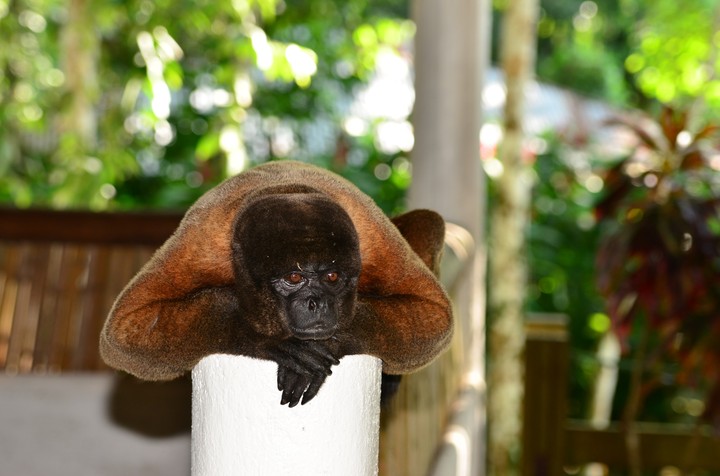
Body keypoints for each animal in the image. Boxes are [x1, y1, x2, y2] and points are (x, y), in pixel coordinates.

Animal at [100, 160, 452, 407]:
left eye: (332, 277)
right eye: (294, 278)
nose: (316, 303)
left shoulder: (373, 242)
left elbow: (436, 317)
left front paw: (334, 341)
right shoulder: (200, 245)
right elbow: (123, 333)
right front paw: (269, 341)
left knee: (430, 221)